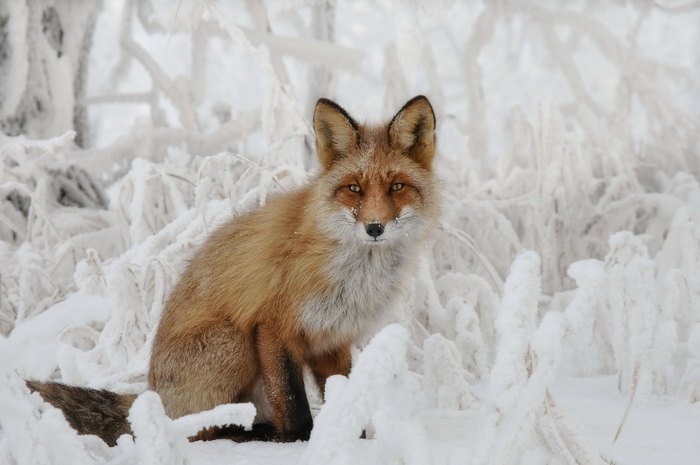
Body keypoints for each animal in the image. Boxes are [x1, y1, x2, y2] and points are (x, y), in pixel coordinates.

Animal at [31, 95, 442, 446]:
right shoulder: (273, 326)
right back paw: (252, 435)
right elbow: (294, 405)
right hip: (235, 343)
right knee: (200, 430)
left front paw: (351, 442)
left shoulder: (332, 340)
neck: (353, 275)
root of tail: (151, 394)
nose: (374, 228)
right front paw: (301, 444)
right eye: (354, 188)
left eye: (397, 186)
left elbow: (346, 398)